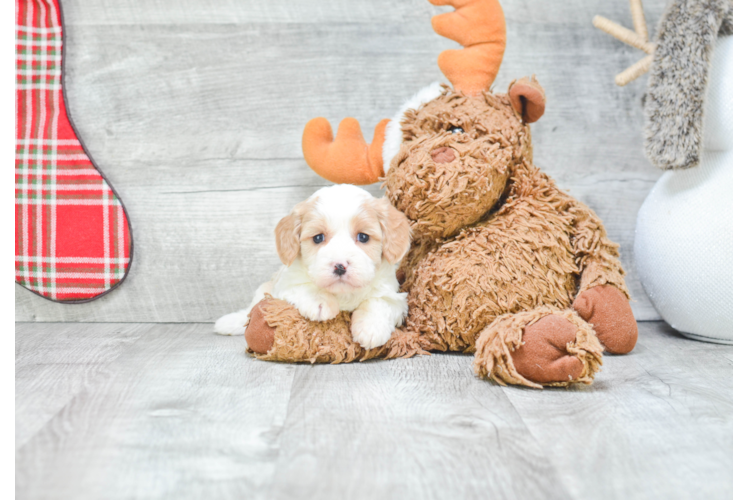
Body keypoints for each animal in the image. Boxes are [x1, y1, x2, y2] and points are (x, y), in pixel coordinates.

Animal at [213, 183, 412, 348]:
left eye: (363, 237)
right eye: (318, 238)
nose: (340, 266)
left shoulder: (395, 296)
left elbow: (380, 301)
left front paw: (371, 328)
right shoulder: (284, 285)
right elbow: (304, 286)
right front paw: (320, 302)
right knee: (250, 310)